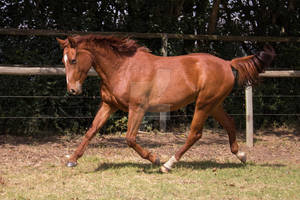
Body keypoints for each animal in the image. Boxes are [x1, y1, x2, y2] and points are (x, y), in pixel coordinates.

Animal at [56, 34, 274, 172]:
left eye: (73, 60)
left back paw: (168, 164)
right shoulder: (109, 105)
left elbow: (130, 139)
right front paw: (72, 160)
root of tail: (227, 64)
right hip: (214, 104)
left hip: (204, 104)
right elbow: (91, 131)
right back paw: (241, 156)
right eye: (63, 60)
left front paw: (155, 158)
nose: (73, 90)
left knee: (195, 134)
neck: (123, 68)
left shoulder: (138, 108)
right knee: (229, 124)